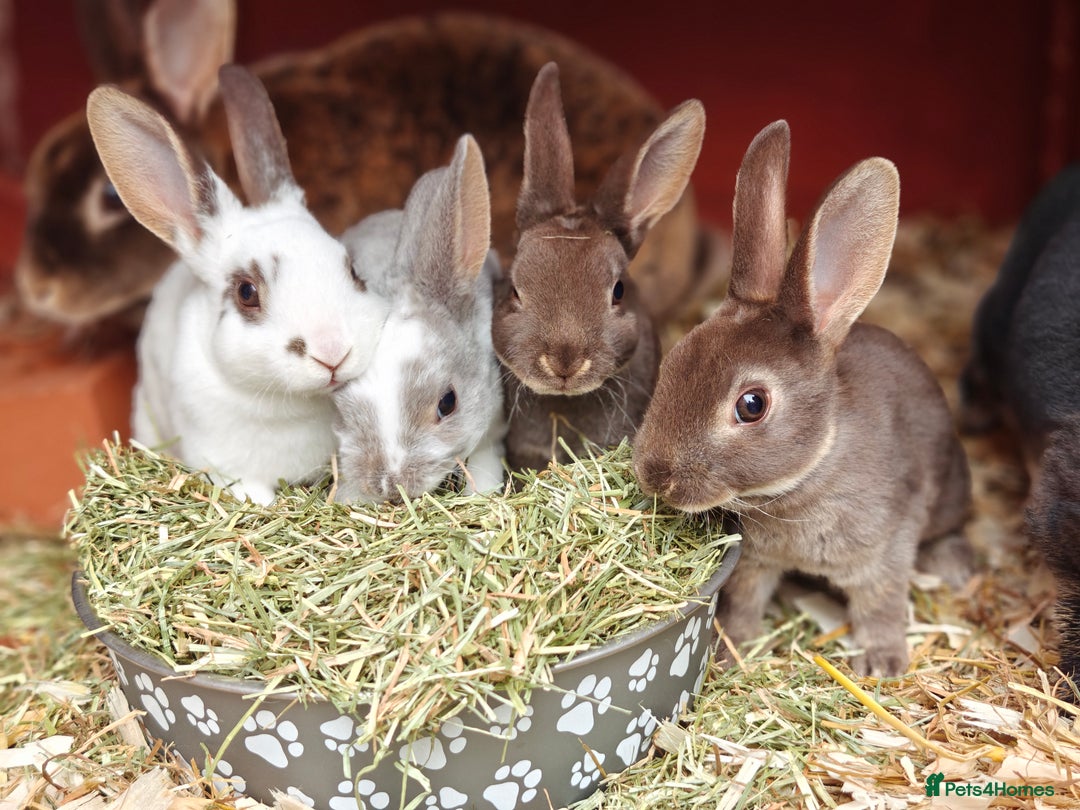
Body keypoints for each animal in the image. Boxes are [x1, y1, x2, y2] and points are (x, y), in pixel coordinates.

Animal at [632, 120, 973, 677]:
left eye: (752, 405)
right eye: (676, 357)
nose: (655, 475)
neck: (810, 472)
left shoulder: (885, 551)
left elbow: (880, 605)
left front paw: (883, 662)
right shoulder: (757, 562)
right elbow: (745, 601)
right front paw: (731, 649)